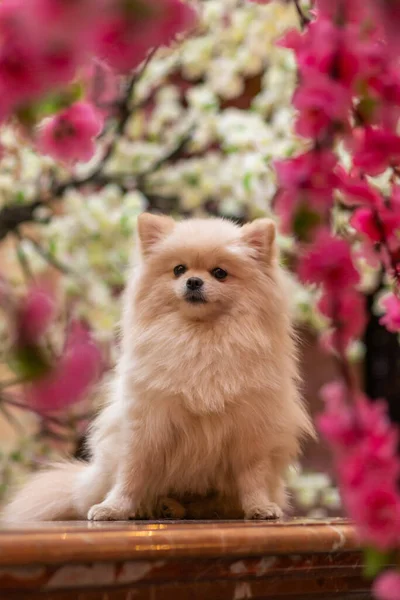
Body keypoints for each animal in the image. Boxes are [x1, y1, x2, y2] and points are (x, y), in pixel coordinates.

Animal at [3, 214, 316, 520]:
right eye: (179, 269)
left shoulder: (251, 431)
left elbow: (252, 477)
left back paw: (188, 507)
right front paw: (114, 507)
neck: (200, 337)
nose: (193, 281)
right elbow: (131, 475)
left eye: (220, 273)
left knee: (209, 504)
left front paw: (259, 507)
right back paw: (153, 507)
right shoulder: (147, 426)